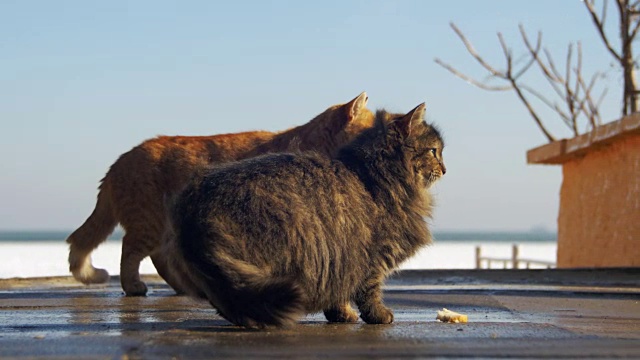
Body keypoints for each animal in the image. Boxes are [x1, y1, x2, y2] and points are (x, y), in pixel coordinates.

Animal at [63, 92, 376, 296]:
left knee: (160, 258)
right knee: (130, 252)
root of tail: (119, 160)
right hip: (149, 222)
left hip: (164, 227)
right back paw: (134, 287)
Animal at [165, 102, 444, 330]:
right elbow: (369, 292)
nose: (445, 168)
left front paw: (342, 316)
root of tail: (197, 200)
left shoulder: (338, 257)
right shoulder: (371, 256)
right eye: (433, 151)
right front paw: (377, 315)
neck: (374, 175)